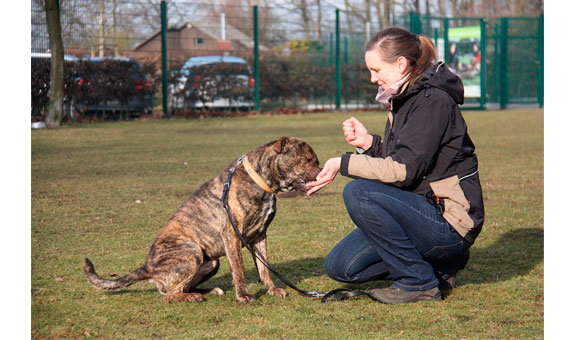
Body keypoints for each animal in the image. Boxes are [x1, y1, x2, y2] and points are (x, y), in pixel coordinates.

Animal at [84, 137, 322, 302]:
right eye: (309, 159)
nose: (322, 172)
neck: (262, 181)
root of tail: (147, 267)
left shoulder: (260, 236)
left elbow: (265, 269)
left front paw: (271, 290)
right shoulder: (231, 236)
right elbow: (239, 270)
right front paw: (243, 296)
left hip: (211, 262)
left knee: (183, 286)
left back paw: (209, 291)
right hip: (191, 251)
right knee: (169, 295)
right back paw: (192, 297)